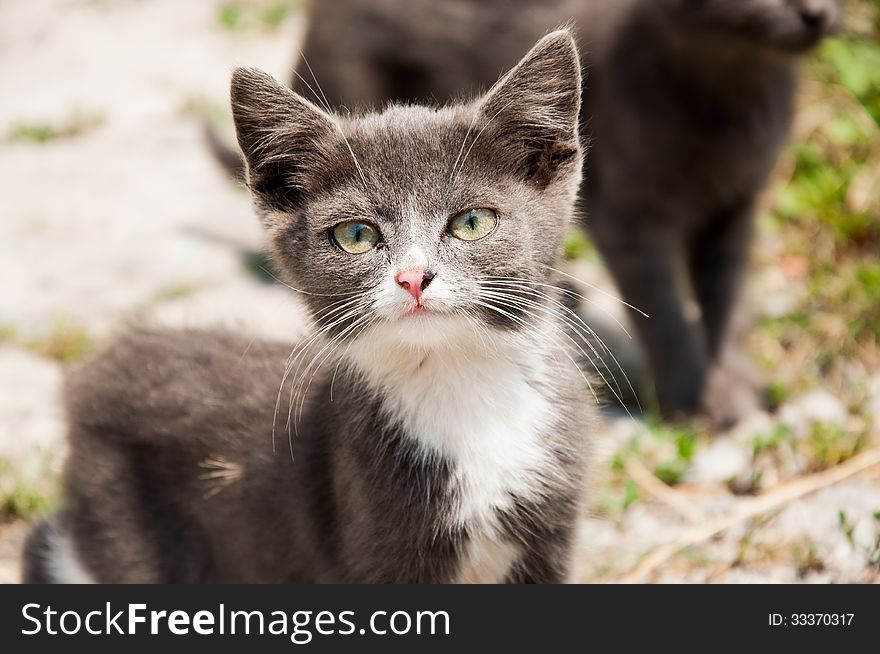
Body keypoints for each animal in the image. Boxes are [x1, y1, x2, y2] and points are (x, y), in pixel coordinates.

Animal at [22, 32, 600, 584]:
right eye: (357, 235)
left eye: (472, 222)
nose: (413, 278)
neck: (458, 384)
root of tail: (92, 375)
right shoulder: (371, 533)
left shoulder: (553, 525)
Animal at [264, 0, 844, 426]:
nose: (816, 11)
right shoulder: (627, 214)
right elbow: (661, 308)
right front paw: (699, 399)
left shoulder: (738, 207)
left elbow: (729, 293)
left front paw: (736, 378)